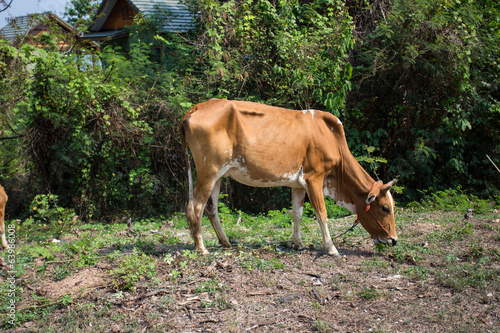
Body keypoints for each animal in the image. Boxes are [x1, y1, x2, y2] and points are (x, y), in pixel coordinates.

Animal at [180, 98, 398, 254]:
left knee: (211, 208)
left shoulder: (298, 184)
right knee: (195, 207)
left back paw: (225, 242)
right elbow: (321, 213)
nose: (394, 240)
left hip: (219, 175)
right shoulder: (314, 177)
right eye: (385, 208)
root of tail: (197, 107)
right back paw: (201, 248)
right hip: (208, 171)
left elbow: (297, 214)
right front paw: (331, 248)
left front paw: (298, 243)